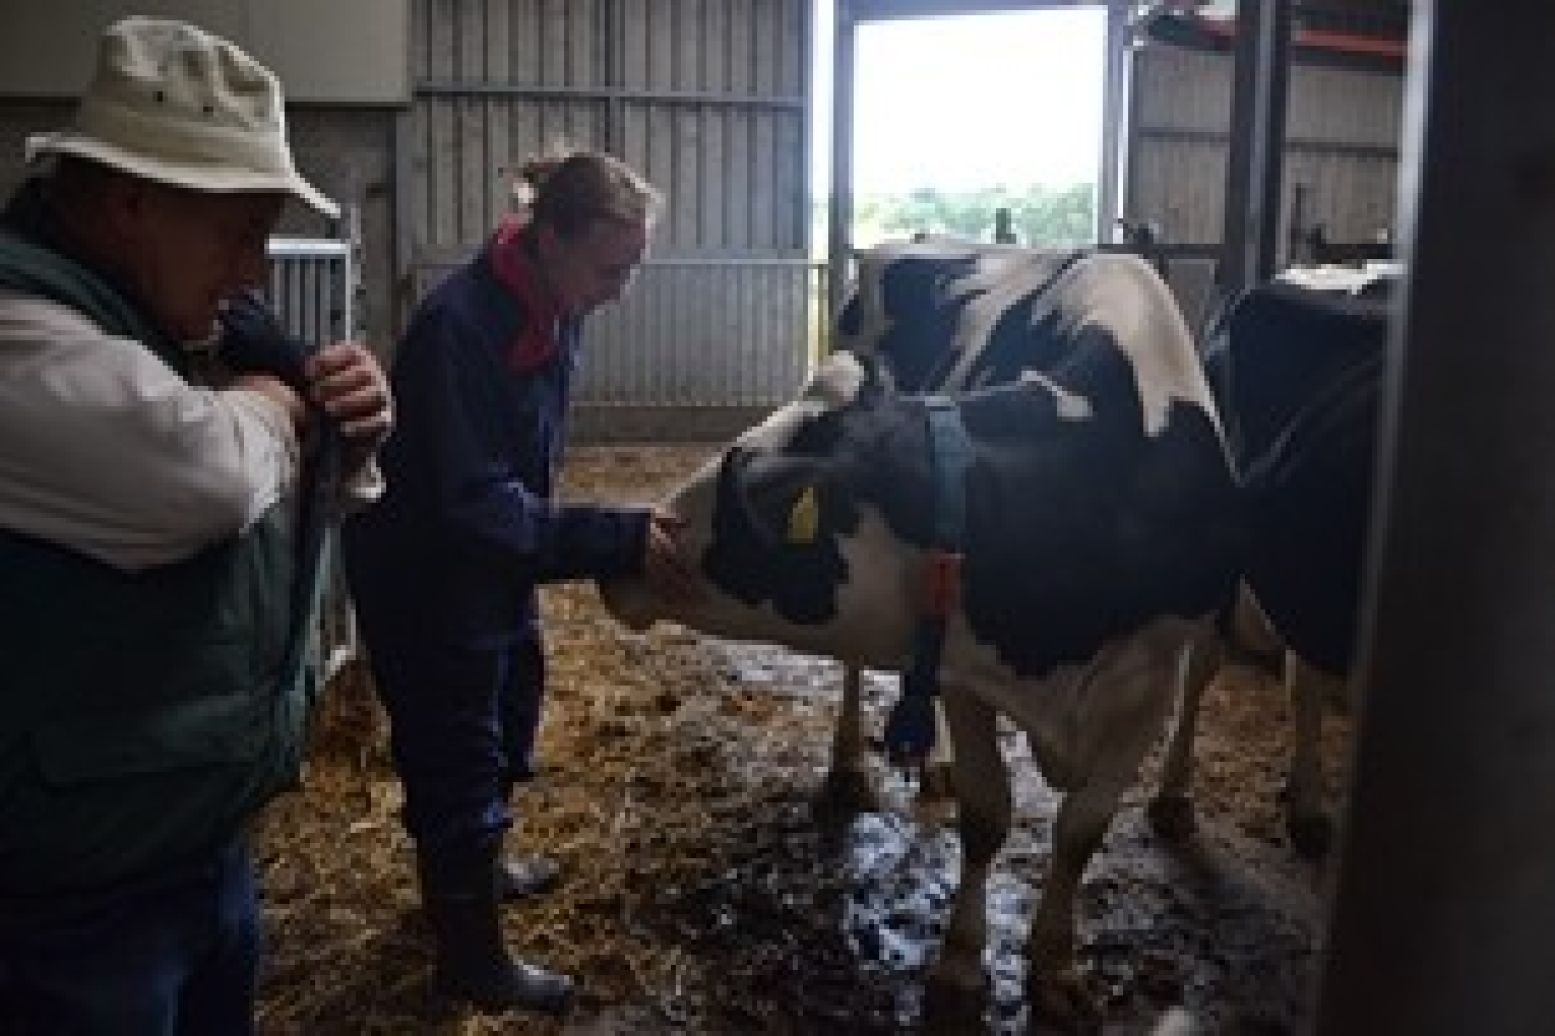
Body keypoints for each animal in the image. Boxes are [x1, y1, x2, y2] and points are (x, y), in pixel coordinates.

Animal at [600, 252, 1244, 1014]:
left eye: (759, 495)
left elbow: (1082, 828)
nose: (628, 555)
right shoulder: (965, 667)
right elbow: (988, 814)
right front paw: (961, 964)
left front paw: (1056, 964)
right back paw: (852, 769)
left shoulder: (1149, 682)